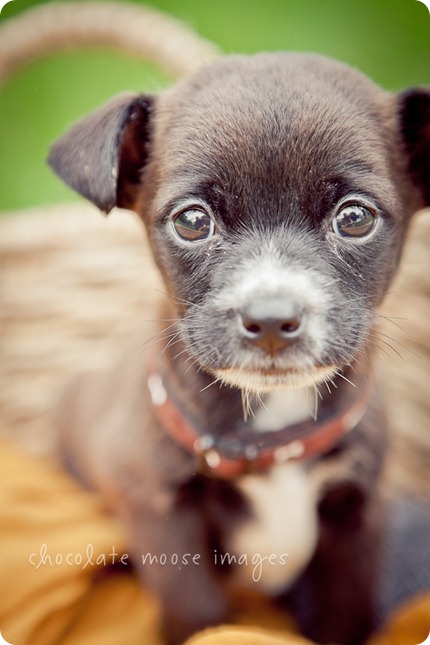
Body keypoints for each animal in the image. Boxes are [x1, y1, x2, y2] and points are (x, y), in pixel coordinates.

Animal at [47, 52, 430, 640]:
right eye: (192, 220)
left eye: (355, 216)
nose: (271, 319)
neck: (271, 440)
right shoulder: (162, 516)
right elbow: (198, 616)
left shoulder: (359, 518)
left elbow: (346, 613)